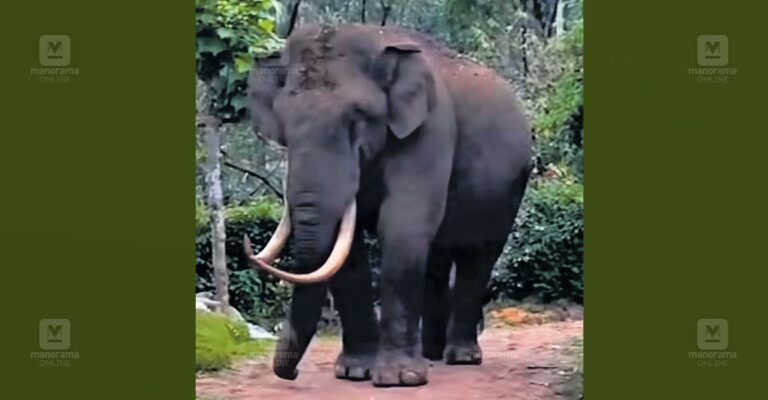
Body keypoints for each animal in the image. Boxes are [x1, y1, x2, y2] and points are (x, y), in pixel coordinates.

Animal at [243, 23, 533, 387]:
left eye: (356, 117)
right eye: (283, 125)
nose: (291, 373)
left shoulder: (430, 130)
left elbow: (402, 226)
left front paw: (400, 378)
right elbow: (349, 248)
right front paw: (354, 373)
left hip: (509, 189)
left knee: (478, 256)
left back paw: (461, 357)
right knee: (436, 258)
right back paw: (432, 354)